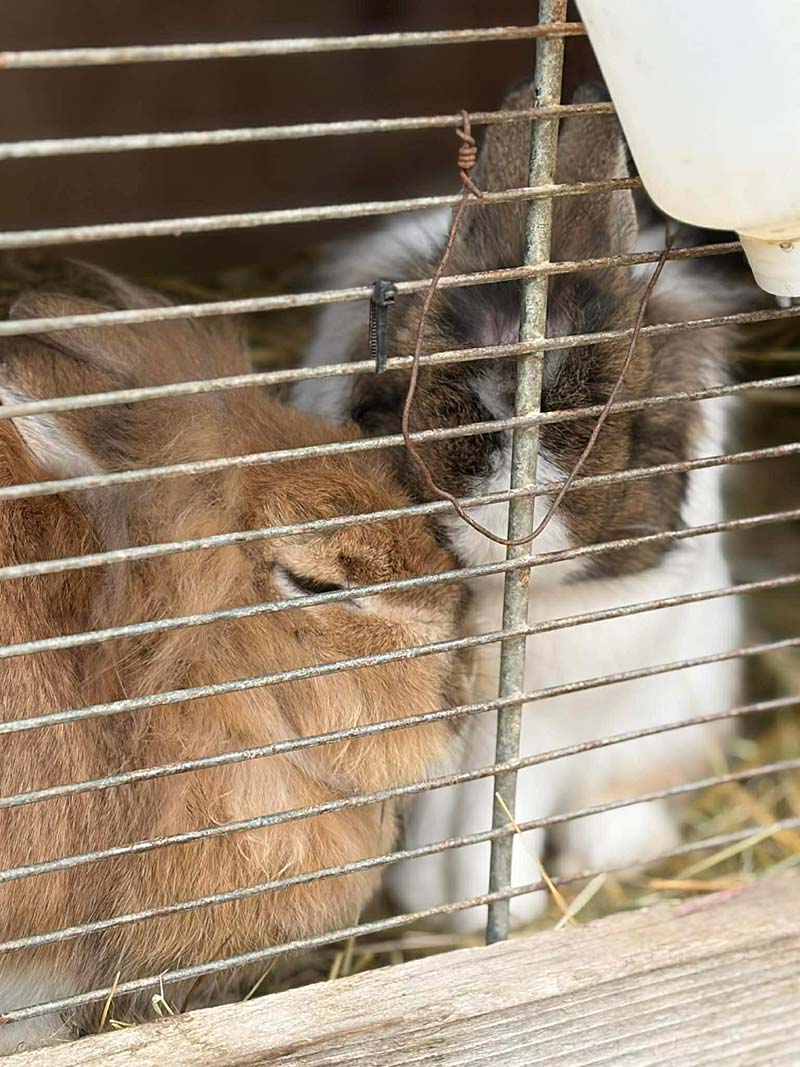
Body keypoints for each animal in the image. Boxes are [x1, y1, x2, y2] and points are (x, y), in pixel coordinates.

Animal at [293, 81, 746, 933]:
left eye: (615, 427)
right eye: (456, 405)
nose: (508, 523)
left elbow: (503, 810)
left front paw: (500, 908)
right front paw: (460, 911)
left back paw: (614, 854)